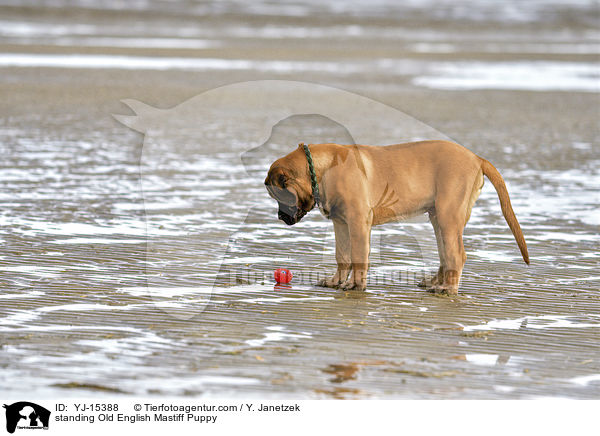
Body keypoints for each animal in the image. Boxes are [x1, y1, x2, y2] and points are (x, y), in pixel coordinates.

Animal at [264, 141, 528, 294]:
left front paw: (355, 285)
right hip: (439, 218)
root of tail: (476, 158)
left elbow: (358, 256)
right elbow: (342, 256)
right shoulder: (341, 223)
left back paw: (447, 288)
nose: (280, 217)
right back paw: (435, 282)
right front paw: (335, 281)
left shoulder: (358, 221)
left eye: (278, 195)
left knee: (457, 255)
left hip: (448, 215)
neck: (321, 169)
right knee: (446, 254)